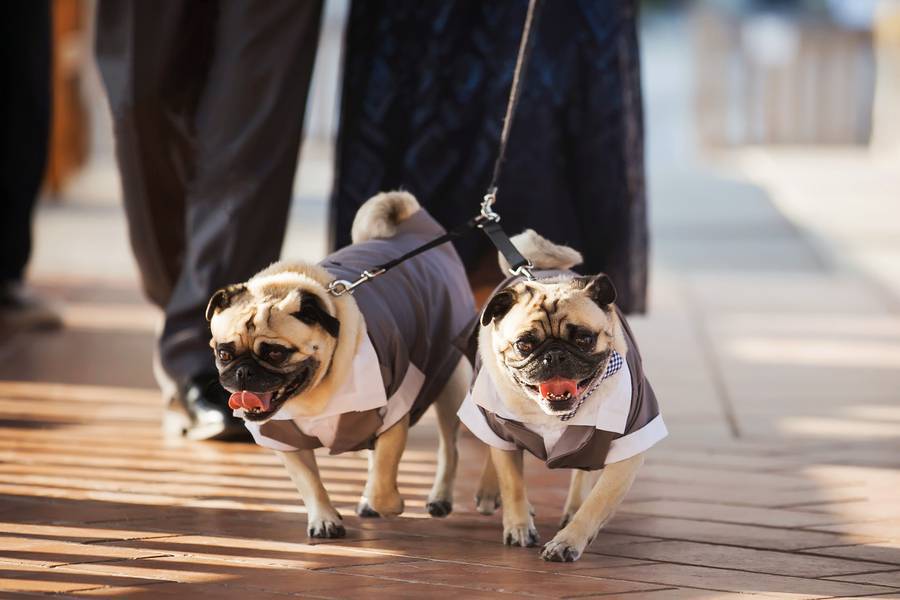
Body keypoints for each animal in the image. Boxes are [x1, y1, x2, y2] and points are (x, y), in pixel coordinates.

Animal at [207, 192, 474, 540]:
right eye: (224, 353)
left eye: (276, 353)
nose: (243, 371)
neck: (312, 395)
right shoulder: (283, 437)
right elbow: (309, 482)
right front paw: (324, 519)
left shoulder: (392, 414)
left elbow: (385, 476)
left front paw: (389, 504)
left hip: (449, 383)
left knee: (450, 449)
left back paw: (440, 497)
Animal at [460, 230, 664, 564]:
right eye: (524, 345)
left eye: (584, 339)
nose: (554, 355)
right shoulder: (497, 424)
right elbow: (512, 482)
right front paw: (518, 525)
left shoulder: (629, 450)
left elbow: (596, 502)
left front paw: (568, 540)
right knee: (496, 450)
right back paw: (490, 491)